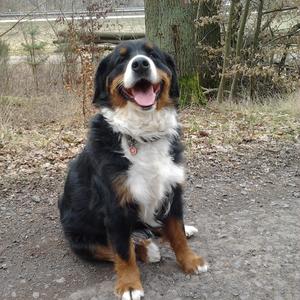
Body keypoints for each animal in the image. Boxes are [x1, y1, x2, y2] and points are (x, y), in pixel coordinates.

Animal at [59, 39, 207, 300]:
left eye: (152, 54)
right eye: (121, 59)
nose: (140, 64)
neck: (142, 134)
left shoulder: (172, 190)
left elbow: (177, 233)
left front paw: (190, 261)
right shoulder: (115, 207)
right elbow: (123, 252)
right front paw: (129, 285)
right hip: (80, 239)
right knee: (115, 247)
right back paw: (147, 250)